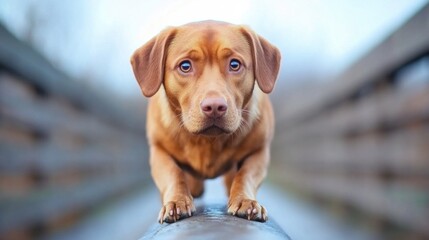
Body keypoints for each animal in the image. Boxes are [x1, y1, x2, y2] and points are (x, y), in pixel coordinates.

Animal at [130, 20, 280, 223]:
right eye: (185, 66)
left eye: (235, 64)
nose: (214, 106)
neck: (208, 142)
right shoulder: (159, 151)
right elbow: (173, 173)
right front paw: (176, 201)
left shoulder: (259, 151)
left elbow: (246, 174)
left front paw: (245, 200)